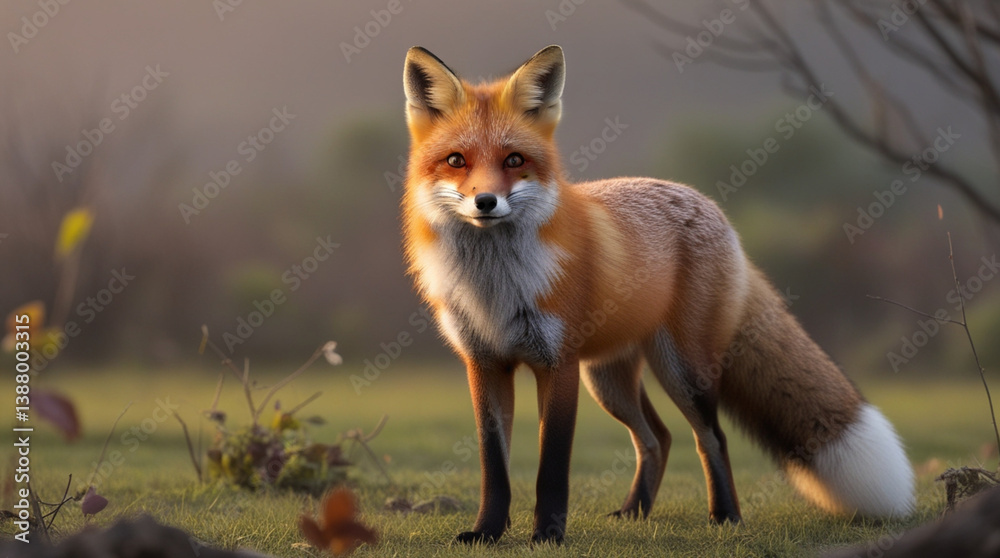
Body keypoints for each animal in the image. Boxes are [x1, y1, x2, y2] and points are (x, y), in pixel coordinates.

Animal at [400, 45, 915, 545]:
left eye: (513, 160)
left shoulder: (557, 364)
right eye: (456, 161)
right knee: (658, 438)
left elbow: (552, 467)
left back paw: (725, 517)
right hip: (608, 379)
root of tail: (709, 206)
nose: (485, 202)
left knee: (711, 438)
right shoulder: (485, 364)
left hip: (681, 369)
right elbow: (494, 469)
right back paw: (635, 511)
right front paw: (487, 532)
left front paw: (547, 535)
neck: (496, 284)